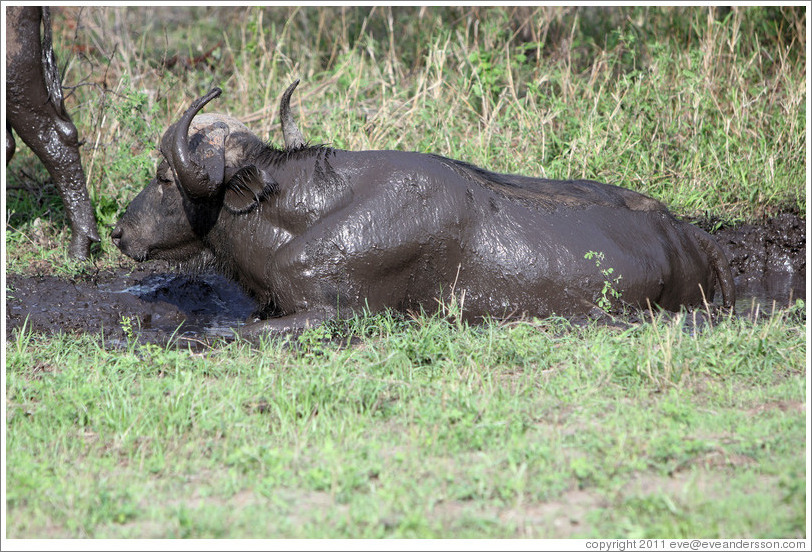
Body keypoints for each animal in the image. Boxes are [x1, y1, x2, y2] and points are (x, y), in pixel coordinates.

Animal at [113, 81, 735, 334]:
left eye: (163, 178)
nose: (119, 230)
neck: (296, 216)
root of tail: (692, 238)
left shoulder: (333, 312)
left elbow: (229, 332)